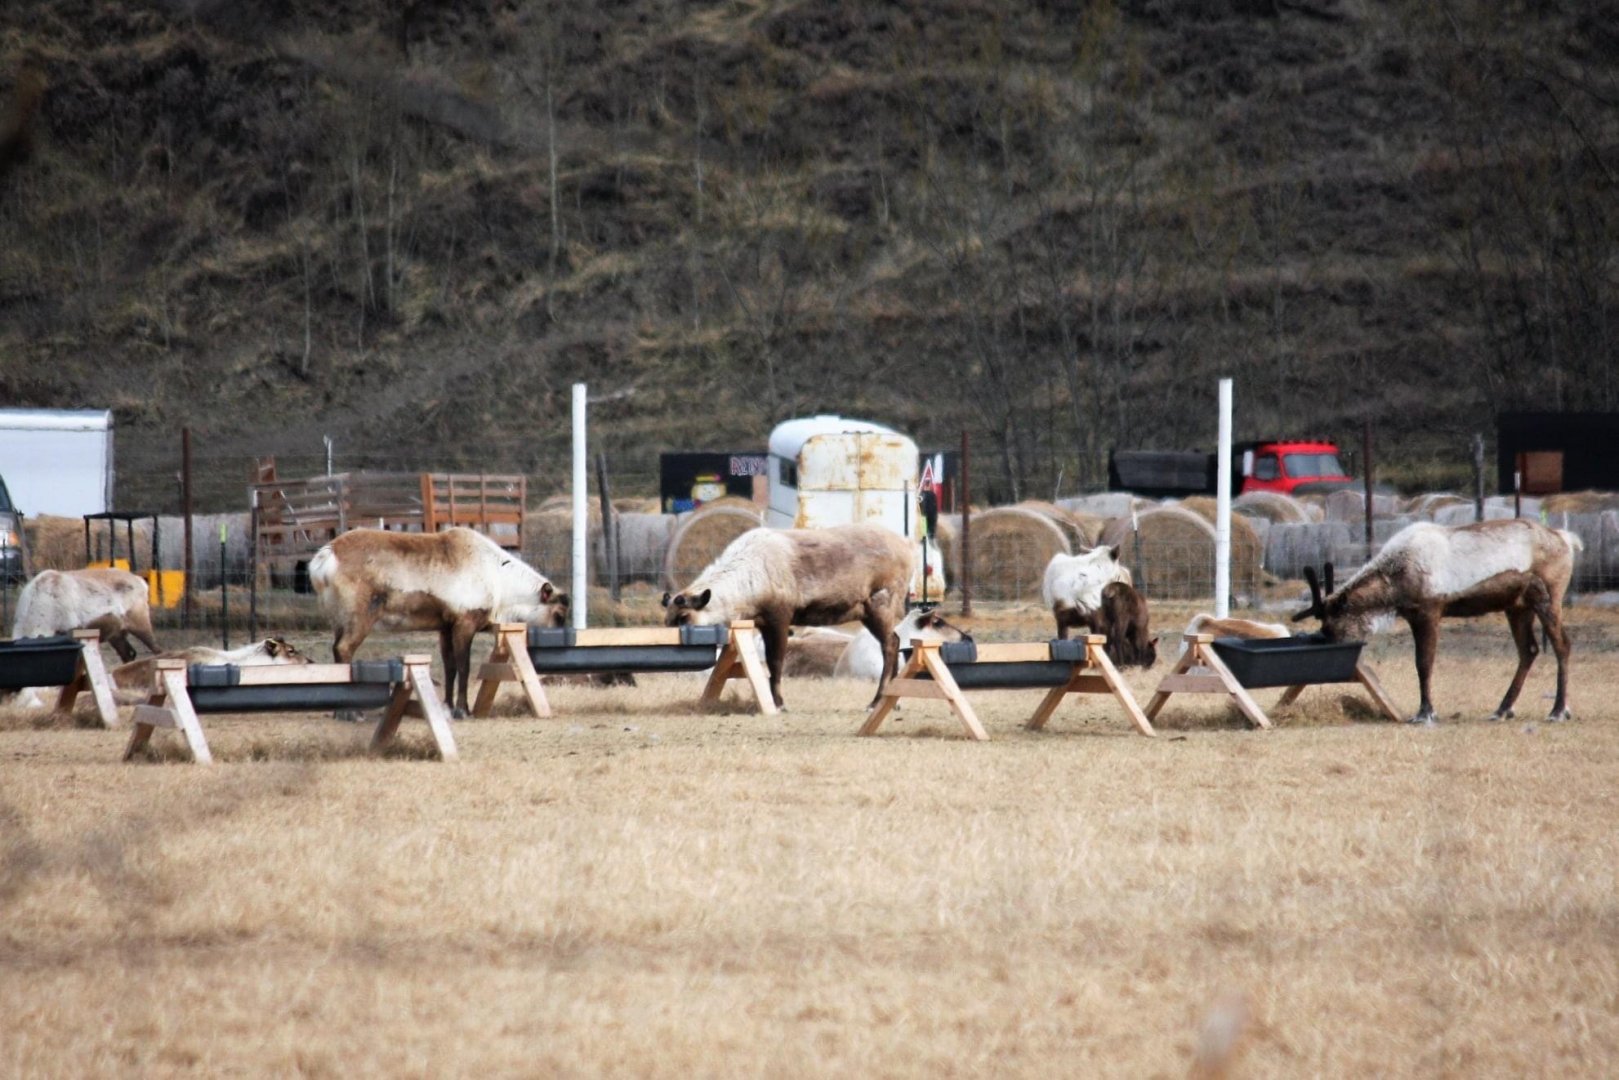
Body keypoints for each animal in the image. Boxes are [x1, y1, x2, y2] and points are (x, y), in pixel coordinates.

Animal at [1292, 519, 1581, 725]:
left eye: (1329, 626)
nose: (1326, 644)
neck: (1395, 579)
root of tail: (1566, 539)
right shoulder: (1413, 615)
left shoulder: (1429, 611)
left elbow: (1424, 664)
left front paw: (1425, 713)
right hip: (1517, 607)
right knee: (1528, 650)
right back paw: (1502, 709)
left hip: (1549, 597)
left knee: (1562, 645)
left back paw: (1558, 711)